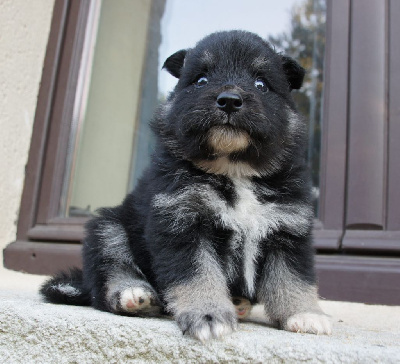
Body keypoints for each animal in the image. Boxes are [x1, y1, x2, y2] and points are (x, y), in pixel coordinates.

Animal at [40, 29, 332, 340]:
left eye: (261, 84)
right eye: (201, 80)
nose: (229, 100)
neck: (234, 169)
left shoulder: (288, 228)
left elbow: (292, 278)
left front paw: (305, 313)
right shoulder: (182, 222)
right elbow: (198, 274)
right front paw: (208, 314)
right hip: (108, 226)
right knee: (110, 269)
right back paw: (133, 293)